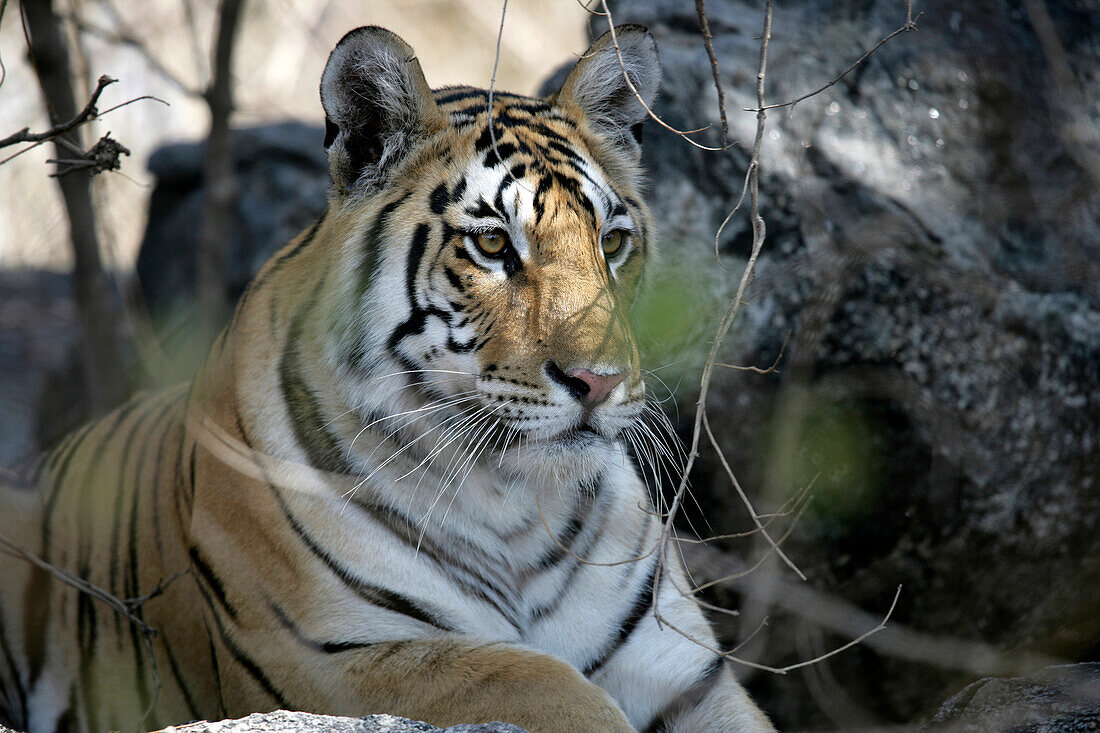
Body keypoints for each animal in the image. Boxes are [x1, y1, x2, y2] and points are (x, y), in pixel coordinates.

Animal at [0, 25, 774, 730]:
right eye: (493, 243)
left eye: (612, 243)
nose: (600, 382)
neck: (516, 505)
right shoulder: (329, 663)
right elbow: (543, 680)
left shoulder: (690, 677)